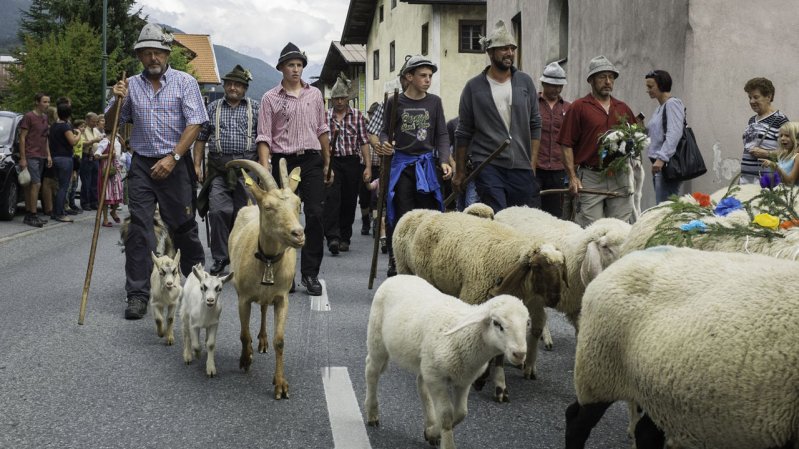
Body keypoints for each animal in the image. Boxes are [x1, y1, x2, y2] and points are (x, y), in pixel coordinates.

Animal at [364, 272, 532, 448]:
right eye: (497, 323)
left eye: (527, 323)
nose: (519, 354)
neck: (464, 337)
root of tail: (399, 276)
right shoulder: (437, 379)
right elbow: (446, 416)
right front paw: (446, 441)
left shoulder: (464, 380)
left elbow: (461, 413)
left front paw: (432, 432)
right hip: (377, 339)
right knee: (372, 371)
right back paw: (372, 413)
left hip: (426, 361)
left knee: (421, 384)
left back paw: (430, 423)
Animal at [392, 206, 564, 400]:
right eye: (537, 266)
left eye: (561, 267)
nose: (555, 299)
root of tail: (423, 212)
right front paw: (482, 379)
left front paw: (499, 385)